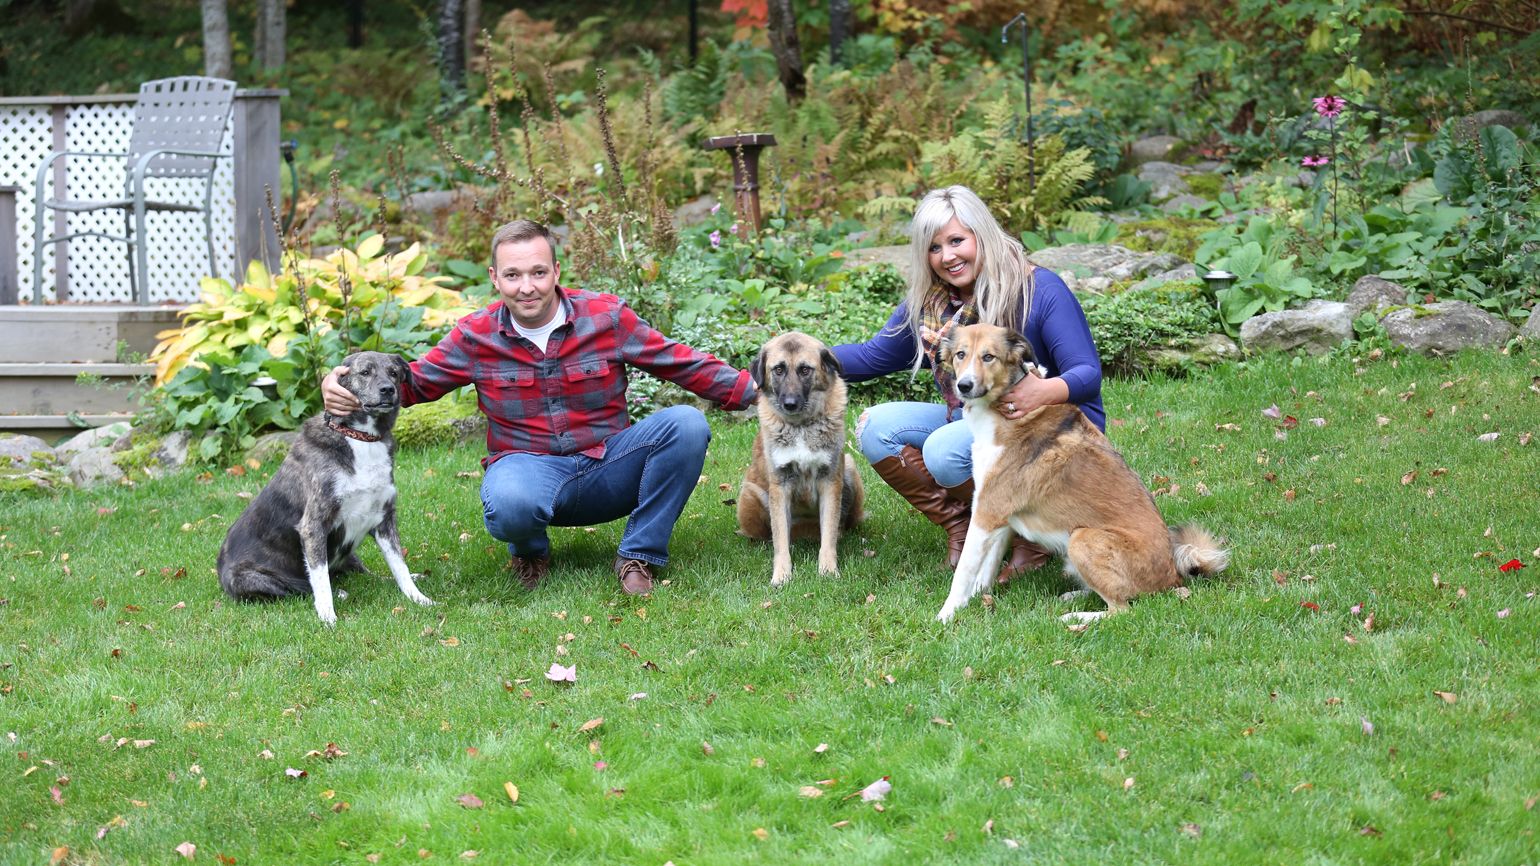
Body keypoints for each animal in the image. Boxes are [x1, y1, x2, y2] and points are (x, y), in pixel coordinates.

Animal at [217, 346, 434, 622]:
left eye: (394, 373)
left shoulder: (384, 519)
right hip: (247, 578)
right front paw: (327, 616)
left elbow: (399, 566)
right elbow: (320, 580)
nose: (387, 390)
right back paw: (337, 594)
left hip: (349, 552)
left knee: (366, 575)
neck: (361, 438)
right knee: (298, 589)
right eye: (365, 372)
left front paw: (418, 597)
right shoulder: (313, 525)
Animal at [736, 329, 862, 585]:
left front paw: (828, 569)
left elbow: (828, 535)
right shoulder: (780, 484)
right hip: (750, 493)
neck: (801, 426)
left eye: (805, 369)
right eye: (778, 369)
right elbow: (780, 540)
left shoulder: (830, 481)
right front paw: (781, 574)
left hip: (850, 470)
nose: (790, 404)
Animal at [930, 323, 1232, 619]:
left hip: (1082, 538)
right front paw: (977, 600)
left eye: (988, 356)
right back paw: (1074, 596)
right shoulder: (1000, 516)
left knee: (1121, 610)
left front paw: (946, 615)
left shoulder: (987, 511)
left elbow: (964, 572)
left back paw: (1076, 617)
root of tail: (1172, 577)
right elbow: (985, 569)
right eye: (960, 354)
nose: (964, 386)